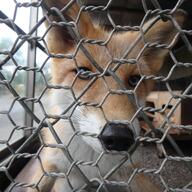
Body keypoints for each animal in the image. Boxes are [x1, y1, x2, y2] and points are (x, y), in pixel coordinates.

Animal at [9, 0, 186, 192]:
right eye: (84, 73)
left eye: (134, 80)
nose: (119, 137)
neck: (91, 165)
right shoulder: (51, 166)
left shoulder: (131, 174)